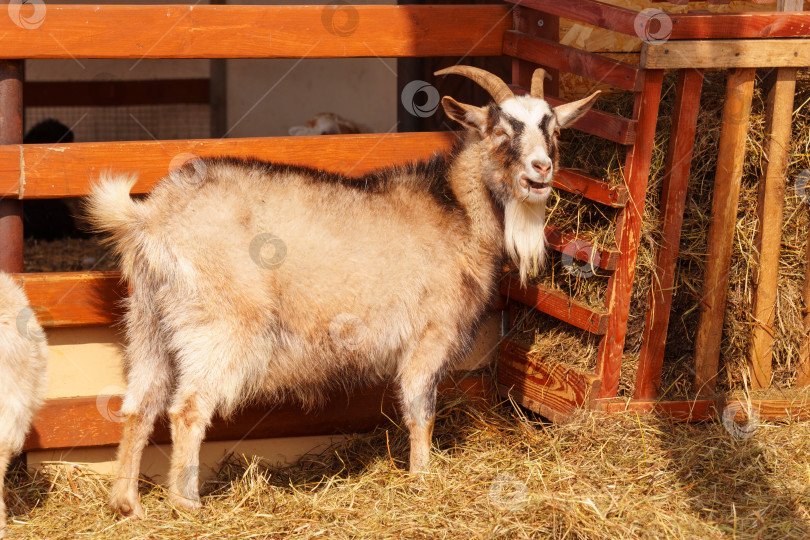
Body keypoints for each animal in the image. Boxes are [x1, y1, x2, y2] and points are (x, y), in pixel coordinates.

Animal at [83, 65, 600, 516]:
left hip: (149, 321)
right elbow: (421, 409)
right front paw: (423, 478)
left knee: (140, 405)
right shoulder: (431, 334)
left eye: (554, 129)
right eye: (499, 130)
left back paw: (127, 505)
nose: (541, 169)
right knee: (188, 409)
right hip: (221, 325)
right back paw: (186, 503)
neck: (456, 209)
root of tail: (150, 218)